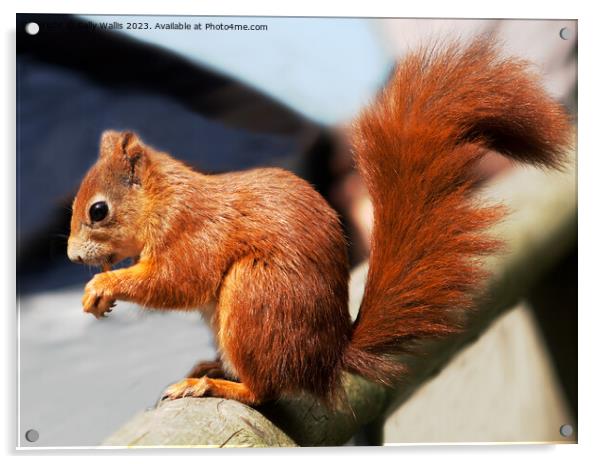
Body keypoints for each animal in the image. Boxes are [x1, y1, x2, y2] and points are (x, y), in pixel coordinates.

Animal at [68, 40, 568, 406]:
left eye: (98, 210)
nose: (72, 255)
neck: (164, 201)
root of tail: (326, 359)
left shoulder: (193, 232)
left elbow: (176, 280)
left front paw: (103, 287)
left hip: (254, 297)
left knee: (264, 391)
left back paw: (213, 384)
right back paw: (211, 368)